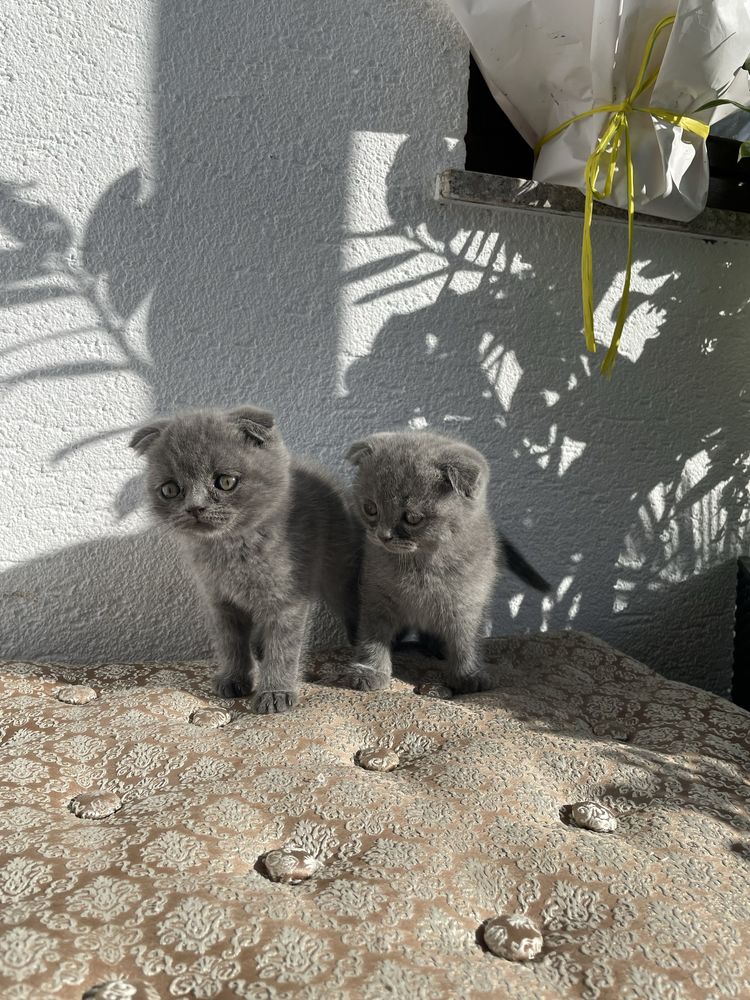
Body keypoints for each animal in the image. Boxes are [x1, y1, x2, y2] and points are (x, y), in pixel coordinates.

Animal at [129, 402, 362, 716]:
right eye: (170, 489)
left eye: (225, 481)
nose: (195, 508)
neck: (232, 549)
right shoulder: (219, 601)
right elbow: (230, 644)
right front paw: (233, 679)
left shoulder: (288, 598)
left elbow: (284, 648)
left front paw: (275, 693)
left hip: (340, 572)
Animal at [338, 430, 548, 696]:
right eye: (370, 508)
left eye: (412, 517)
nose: (383, 536)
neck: (422, 566)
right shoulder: (377, 594)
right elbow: (373, 635)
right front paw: (369, 671)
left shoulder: (469, 600)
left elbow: (465, 640)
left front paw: (468, 676)